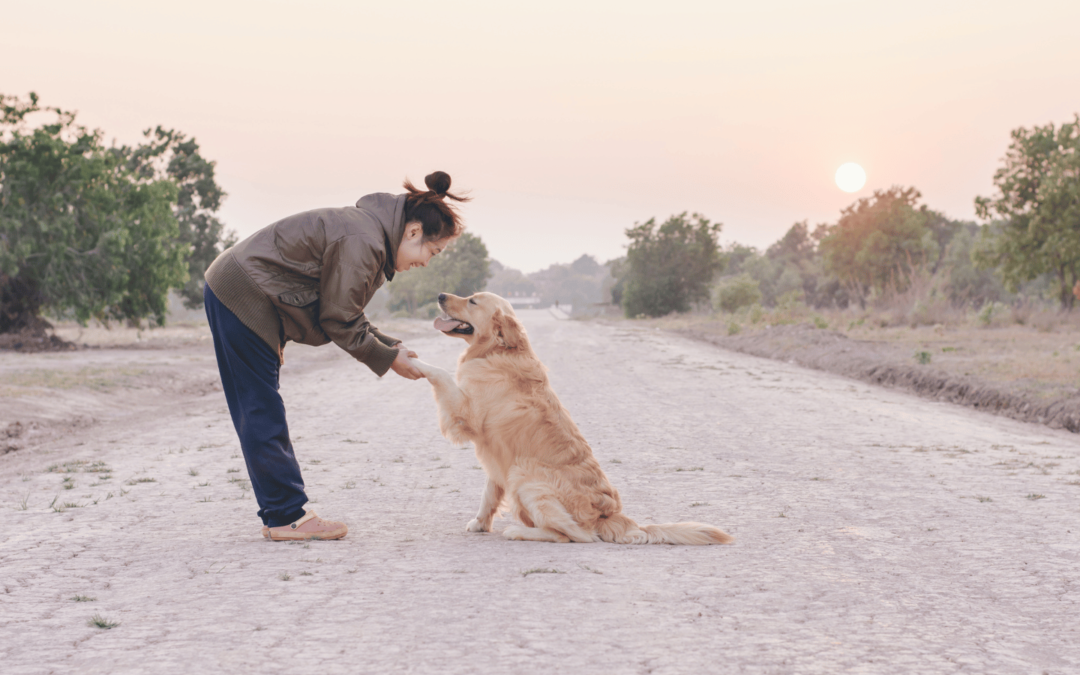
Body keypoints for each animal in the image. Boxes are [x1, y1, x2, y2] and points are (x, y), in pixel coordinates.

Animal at [410, 291, 734, 544]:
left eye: (472, 301)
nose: (440, 295)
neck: (496, 351)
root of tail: (609, 515)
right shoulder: (497, 457)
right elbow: (488, 495)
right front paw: (479, 523)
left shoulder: (466, 415)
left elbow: (440, 373)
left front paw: (414, 361)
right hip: (516, 471)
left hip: (524, 473)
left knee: (574, 535)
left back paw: (520, 532)